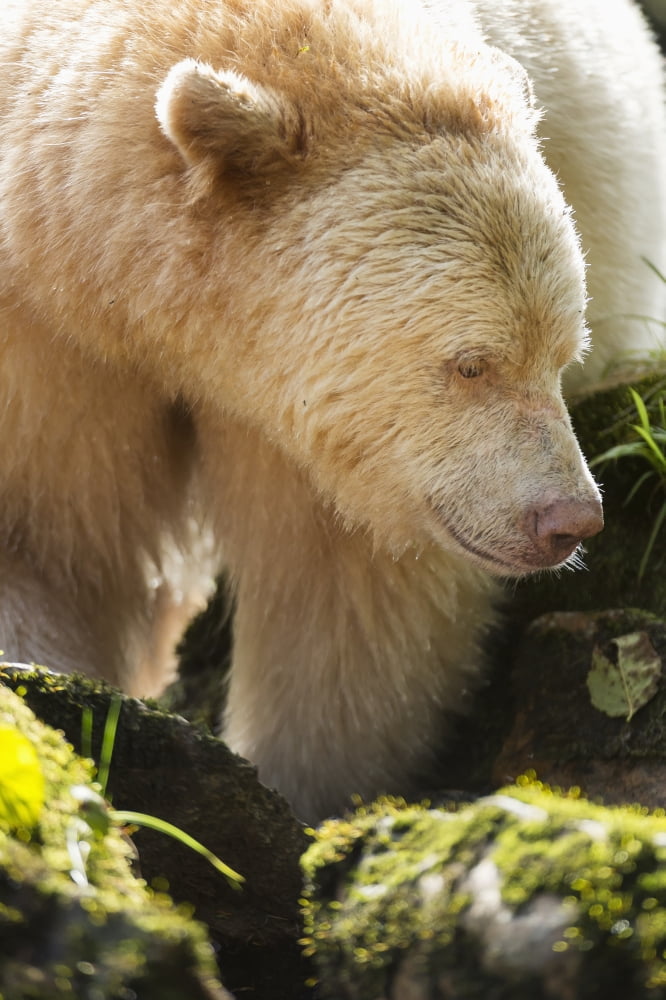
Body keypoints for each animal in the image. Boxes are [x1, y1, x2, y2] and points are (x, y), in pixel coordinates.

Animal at [0, 0, 663, 822]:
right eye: (472, 363)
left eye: (563, 354)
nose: (568, 520)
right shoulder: (45, 339)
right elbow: (45, 543)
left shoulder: (336, 443)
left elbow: (339, 605)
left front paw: (304, 792)